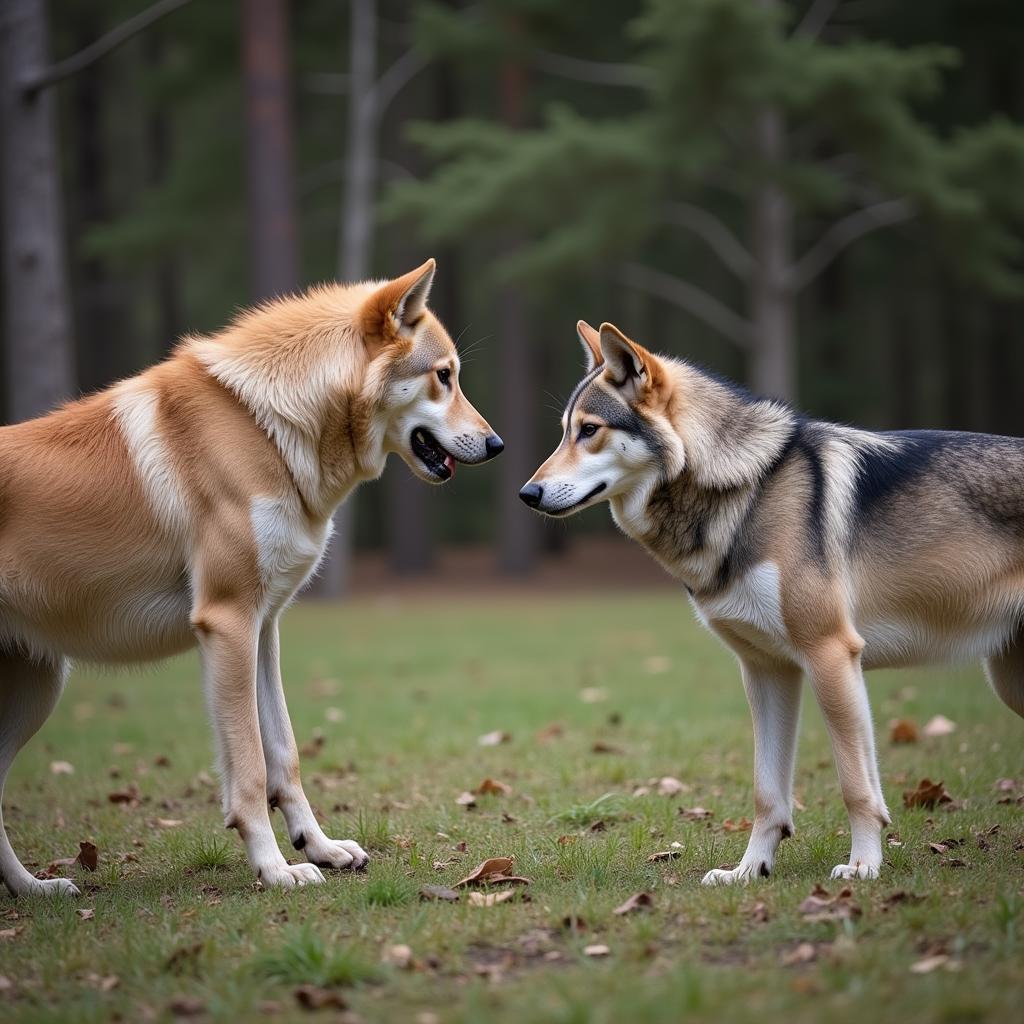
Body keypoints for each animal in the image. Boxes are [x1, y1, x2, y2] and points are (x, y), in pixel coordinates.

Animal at [0, 260, 503, 892]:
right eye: (444, 376)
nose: (497, 444)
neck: (263, 424)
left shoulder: (264, 629)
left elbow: (284, 755)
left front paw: (319, 848)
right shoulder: (229, 623)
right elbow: (249, 772)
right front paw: (275, 869)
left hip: (36, 690)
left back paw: (36, 890)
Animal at [524, 321, 1024, 888]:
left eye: (589, 430)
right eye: (565, 431)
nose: (527, 493)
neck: (747, 487)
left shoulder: (831, 654)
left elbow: (856, 785)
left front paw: (864, 865)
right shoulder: (767, 670)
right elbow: (768, 794)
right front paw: (748, 870)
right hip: (1008, 681)